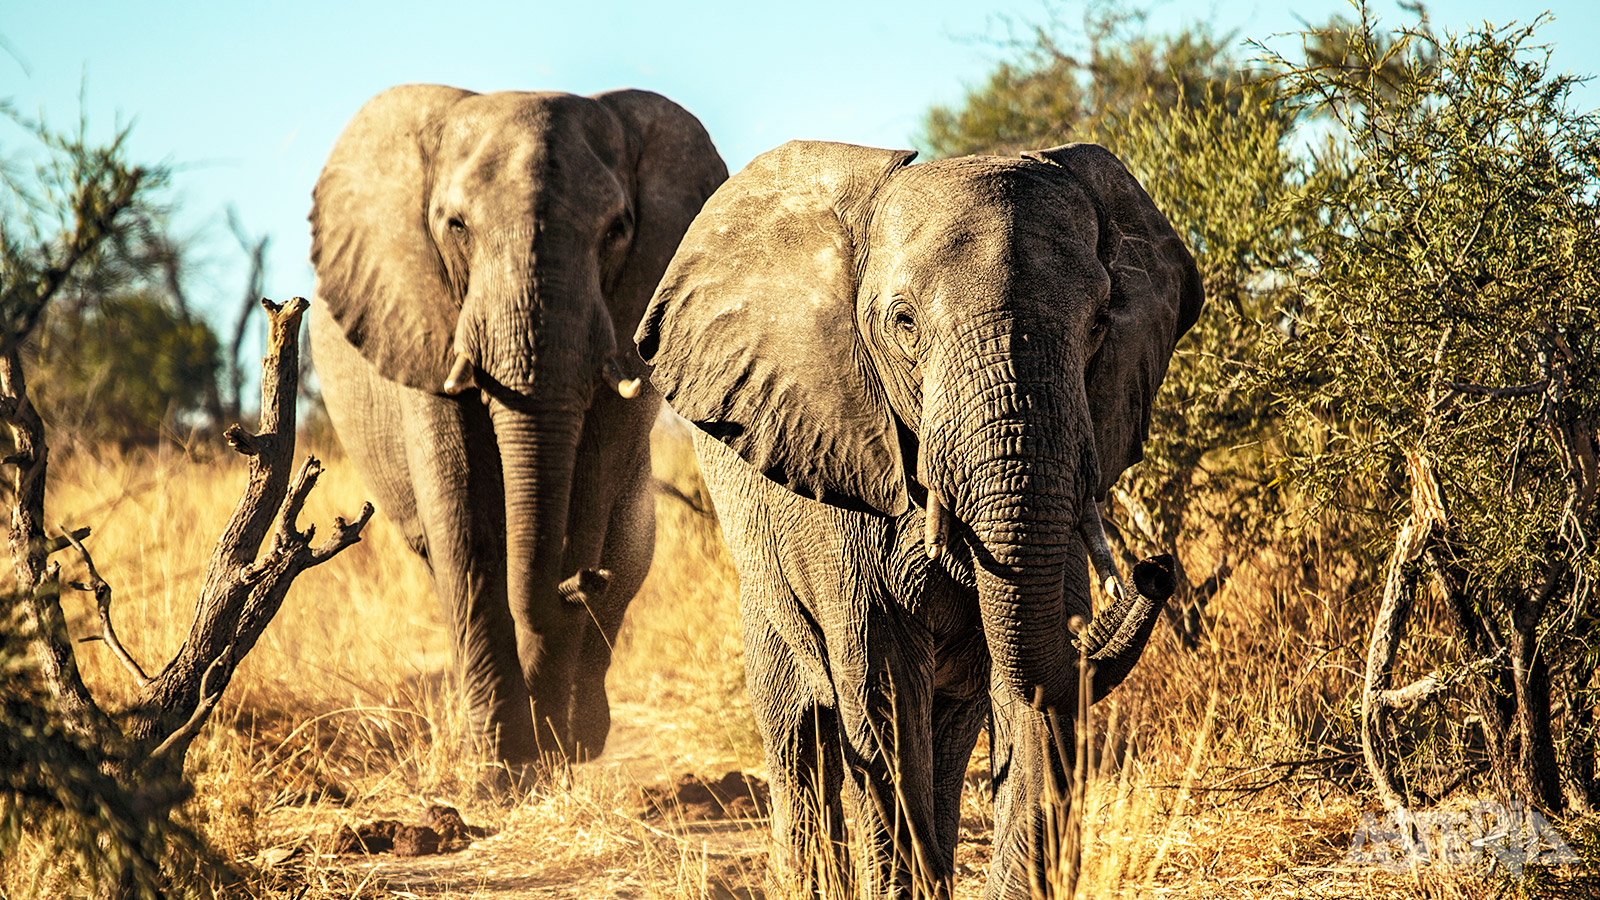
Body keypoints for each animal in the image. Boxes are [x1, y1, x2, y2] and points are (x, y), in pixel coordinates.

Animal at [307, 84, 732, 768]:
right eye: (455, 226)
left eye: (618, 230)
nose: (580, 581)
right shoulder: (422, 322)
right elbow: (464, 519)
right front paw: (499, 769)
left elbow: (587, 498)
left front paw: (553, 748)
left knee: (629, 544)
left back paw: (584, 733)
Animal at [636, 141, 1203, 896]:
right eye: (904, 323)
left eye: (1098, 325)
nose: (1156, 569)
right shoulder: (836, 469)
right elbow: (881, 685)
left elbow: (1031, 679)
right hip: (761, 580)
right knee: (798, 736)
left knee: (948, 732)